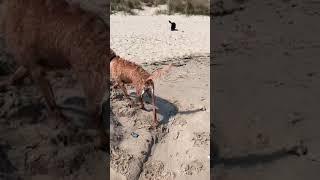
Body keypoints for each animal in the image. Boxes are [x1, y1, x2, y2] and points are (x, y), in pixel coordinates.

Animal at [1, 0, 111, 147]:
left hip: (92, 90)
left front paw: (62, 123)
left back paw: (101, 143)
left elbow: (52, 105)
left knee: (97, 120)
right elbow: (16, 76)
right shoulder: (32, 65)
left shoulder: (35, 68)